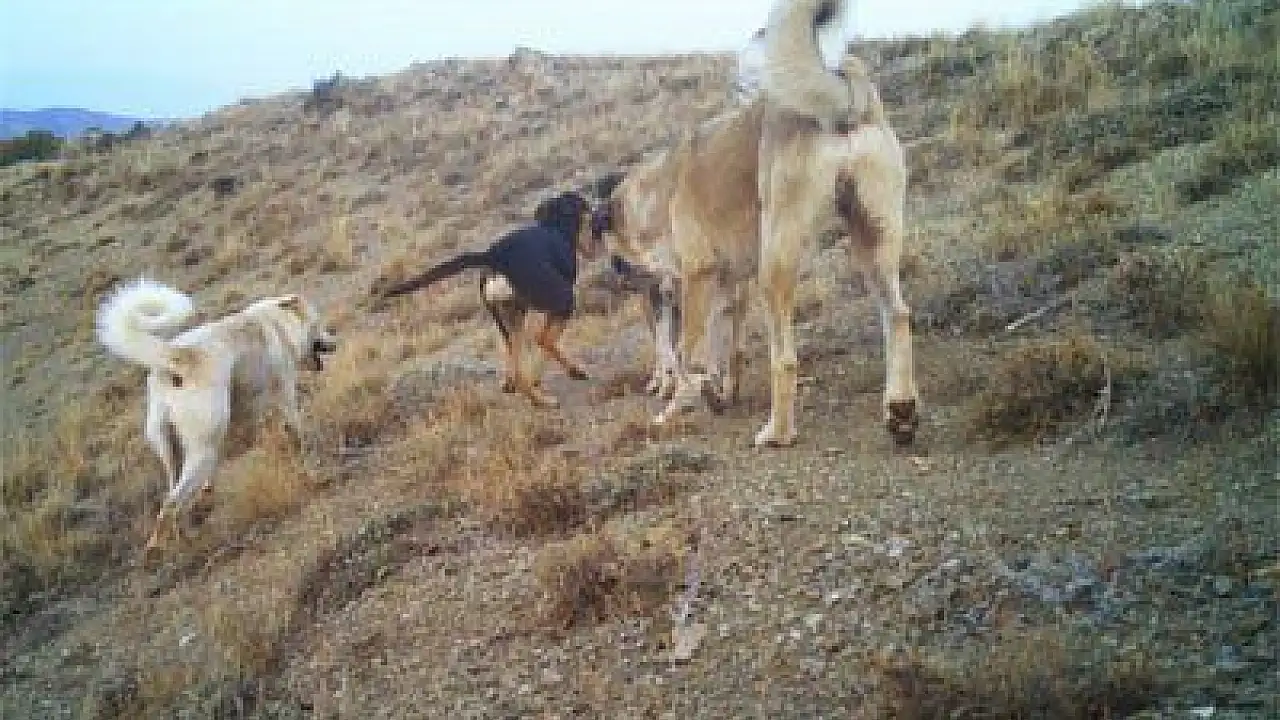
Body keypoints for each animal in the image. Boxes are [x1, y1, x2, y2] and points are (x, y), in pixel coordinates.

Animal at [95, 278, 338, 556]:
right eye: (318, 323)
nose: (334, 342)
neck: (278, 324)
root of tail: (175, 356)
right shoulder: (286, 396)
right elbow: (299, 436)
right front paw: (314, 473)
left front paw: (207, 498)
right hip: (202, 451)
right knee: (171, 505)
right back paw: (177, 546)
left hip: (175, 452)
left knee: (172, 496)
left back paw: (177, 536)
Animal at [375, 190, 601, 408]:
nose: (597, 218)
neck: (554, 226)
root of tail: (493, 255)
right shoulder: (555, 308)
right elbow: (547, 343)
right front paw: (556, 374)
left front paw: (531, 379)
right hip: (562, 300)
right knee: (541, 339)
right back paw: (549, 395)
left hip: (508, 315)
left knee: (515, 356)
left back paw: (522, 389)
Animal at [595, 0, 918, 448]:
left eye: (612, 249)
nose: (617, 276)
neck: (660, 189)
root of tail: (843, 92)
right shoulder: (726, 286)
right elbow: (718, 350)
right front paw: (714, 391)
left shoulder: (699, 276)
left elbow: (686, 351)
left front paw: (677, 407)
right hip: (874, 238)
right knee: (898, 316)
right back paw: (900, 410)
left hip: (776, 261)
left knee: (784, 358)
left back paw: (778, 431)